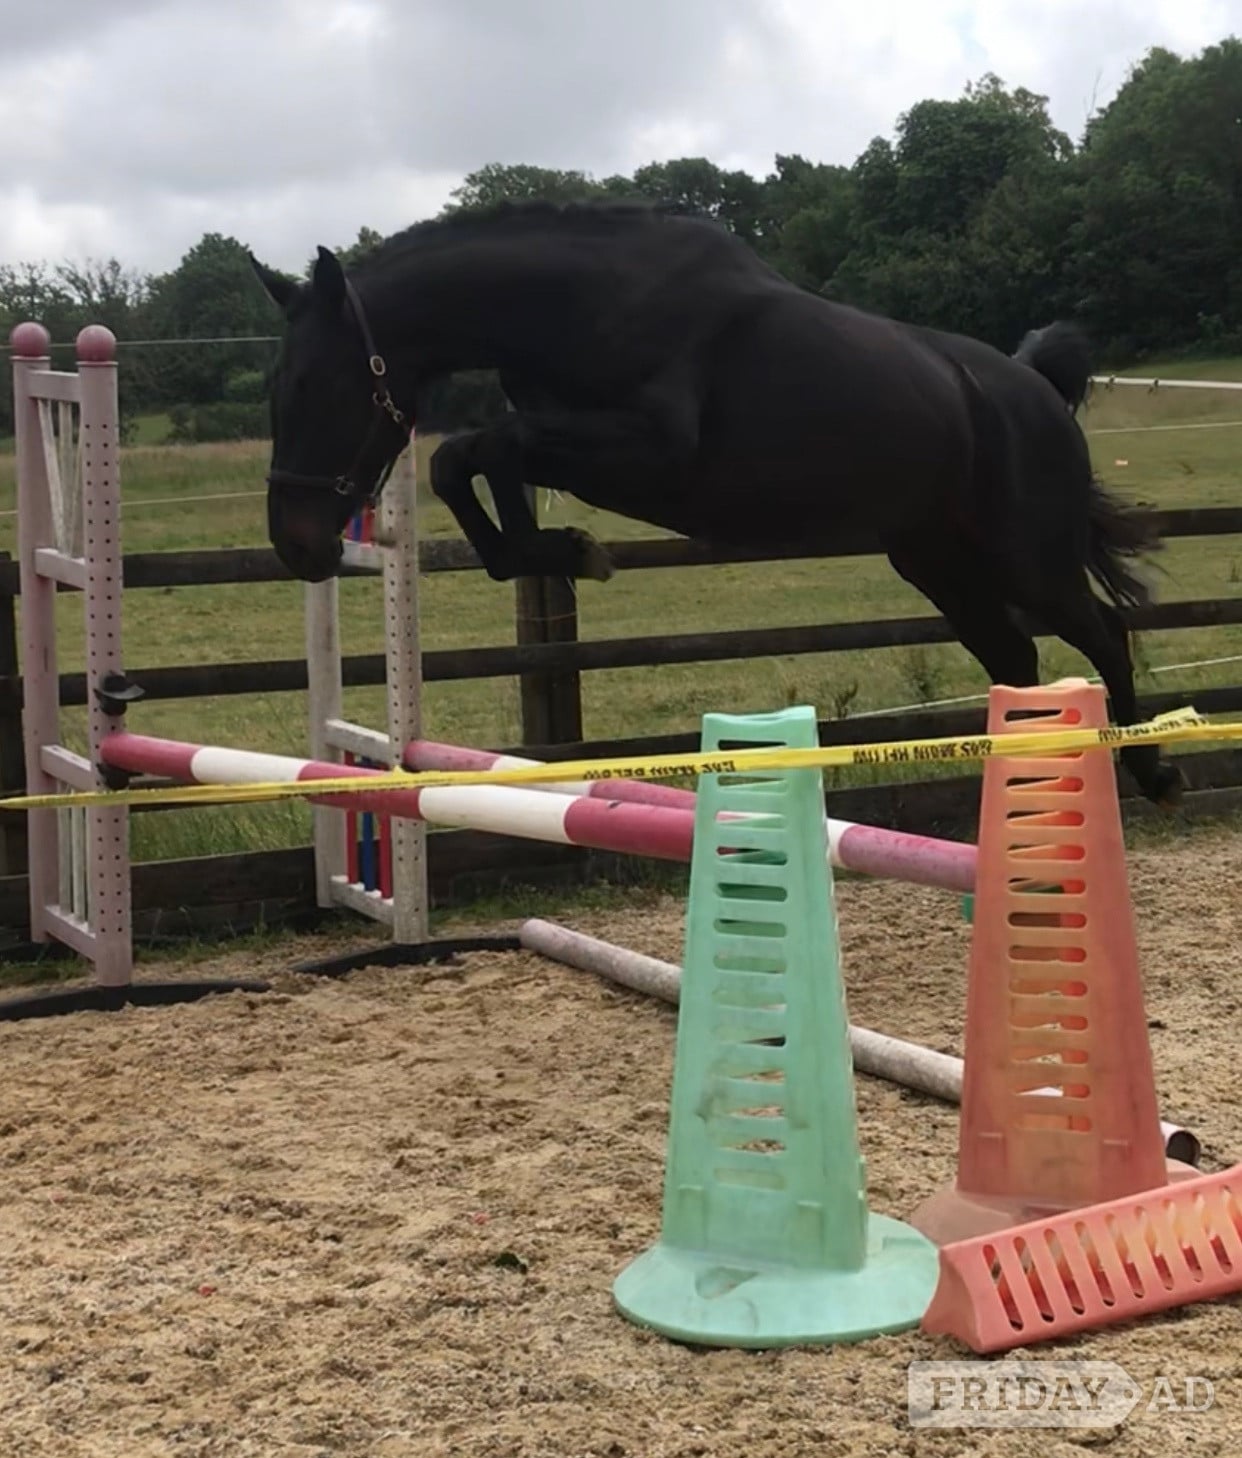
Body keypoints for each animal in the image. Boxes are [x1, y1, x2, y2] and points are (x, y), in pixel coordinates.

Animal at [250, 199, 1181, 805]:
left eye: (314, 386)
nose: (297, 546)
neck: (582, 302)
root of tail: (1035, 389)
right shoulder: (573, 440)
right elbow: (473, 461)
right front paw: (558, 549)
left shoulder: (649, 454)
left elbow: (480, 450)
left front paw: (571, 550)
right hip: (940, 564)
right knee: (1015, 661)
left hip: (1029, 558)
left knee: (1104, 635)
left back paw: (1151, 773)